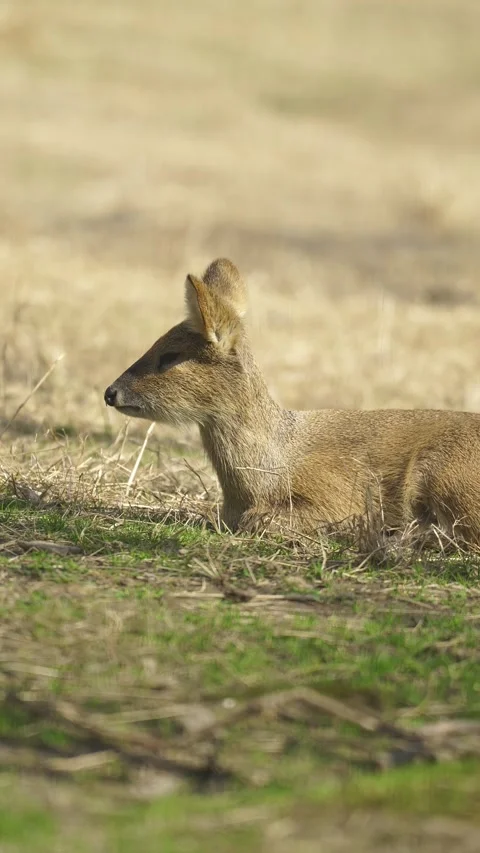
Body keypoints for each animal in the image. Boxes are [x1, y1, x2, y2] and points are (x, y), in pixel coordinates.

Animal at [104, 258, 480, 545]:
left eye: (169, 356)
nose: (110, 392)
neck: (264, 479)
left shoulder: (341, 496)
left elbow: (260, 521)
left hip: (448, 475)